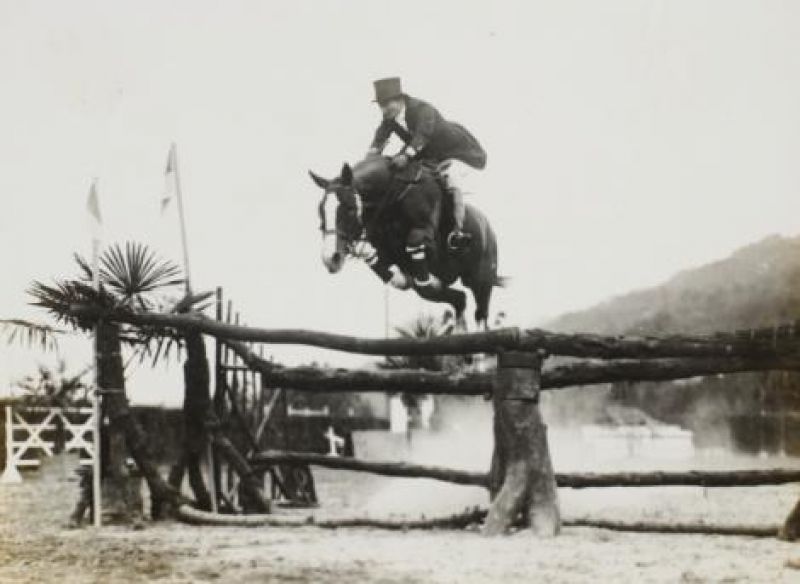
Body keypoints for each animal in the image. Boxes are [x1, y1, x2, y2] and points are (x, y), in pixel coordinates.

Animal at [310, 155, 504, 328]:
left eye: (349, 208)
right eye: (320, 211)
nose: (330, 258)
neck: (391, 195)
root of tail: (489, 228)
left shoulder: (428, 239)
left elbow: (415, 243)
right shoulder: (387, 254)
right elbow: (382, 264)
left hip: (481, 280)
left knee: (481, 314)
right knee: (459, 299)